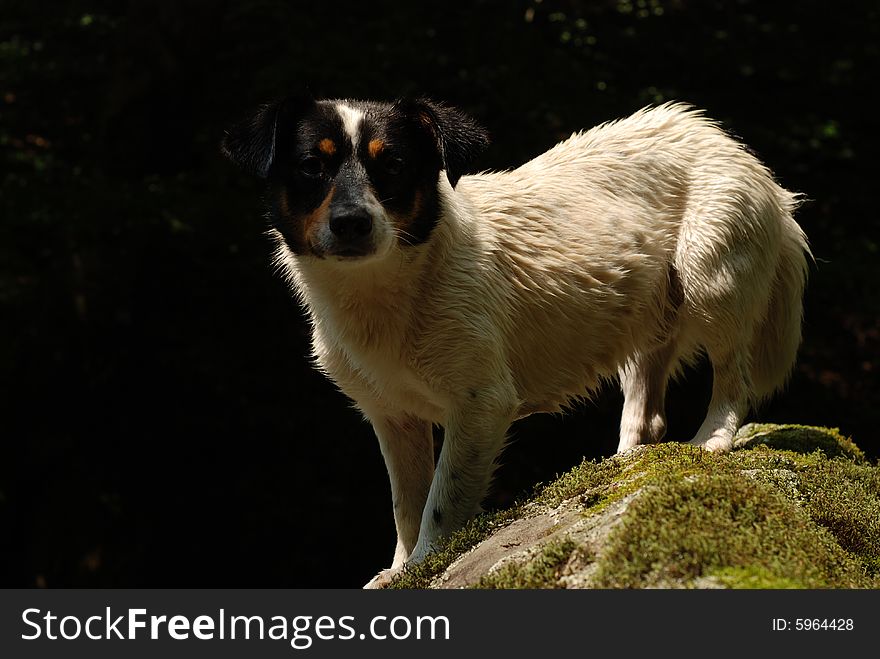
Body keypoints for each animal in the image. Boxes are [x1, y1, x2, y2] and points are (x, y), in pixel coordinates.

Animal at [222, 96, 812, 588]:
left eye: (392, 165)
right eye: (311, 167)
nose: (351, 223)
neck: (394, 285)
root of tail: (751, 164)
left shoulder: (480, 404)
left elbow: (441, 500)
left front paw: (426, 564)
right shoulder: (392, 416)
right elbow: (406, 503)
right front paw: (399, 570)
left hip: (711, 276)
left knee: (734, 375)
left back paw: (713, 438)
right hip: (647, 313)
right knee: (648, 407)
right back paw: (623, 462)